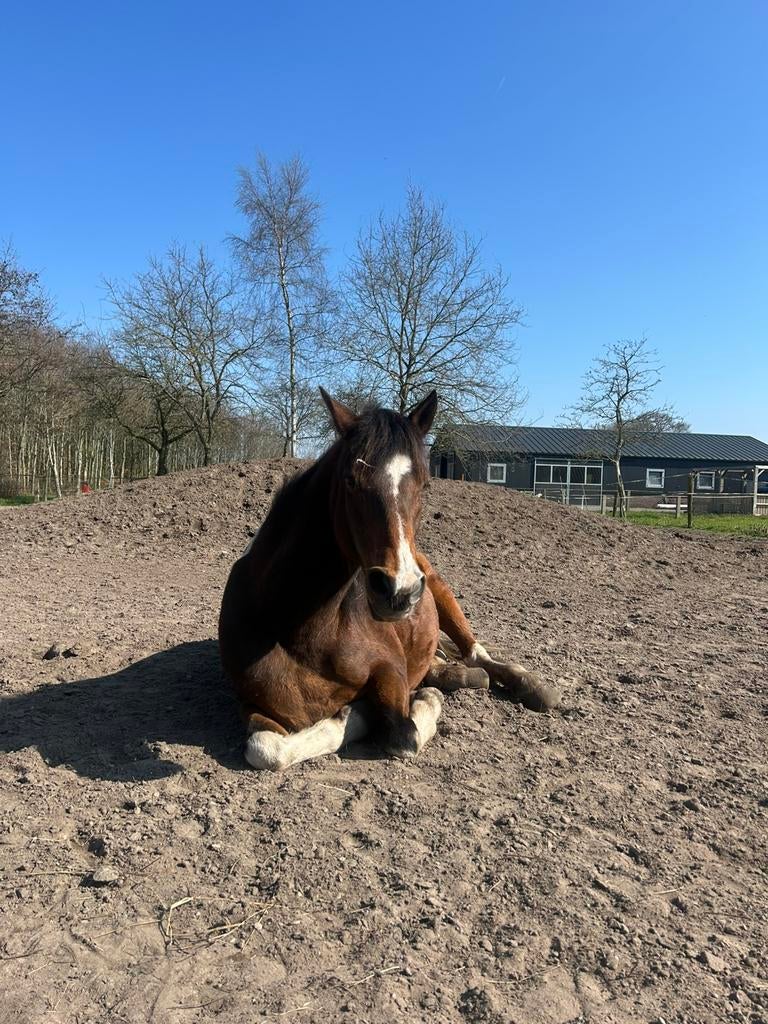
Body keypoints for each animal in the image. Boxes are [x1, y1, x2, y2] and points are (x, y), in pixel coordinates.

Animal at [218, 389, 560, 770]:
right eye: (350, 481)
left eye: (425, 483)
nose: (400, 591)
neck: (298, 630)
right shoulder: (252, 705)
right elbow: (265, 748)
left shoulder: (390, 670)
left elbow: (403, 736)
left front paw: (417, 702)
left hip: (443, 597)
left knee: (476, 653)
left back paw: (529, 685)